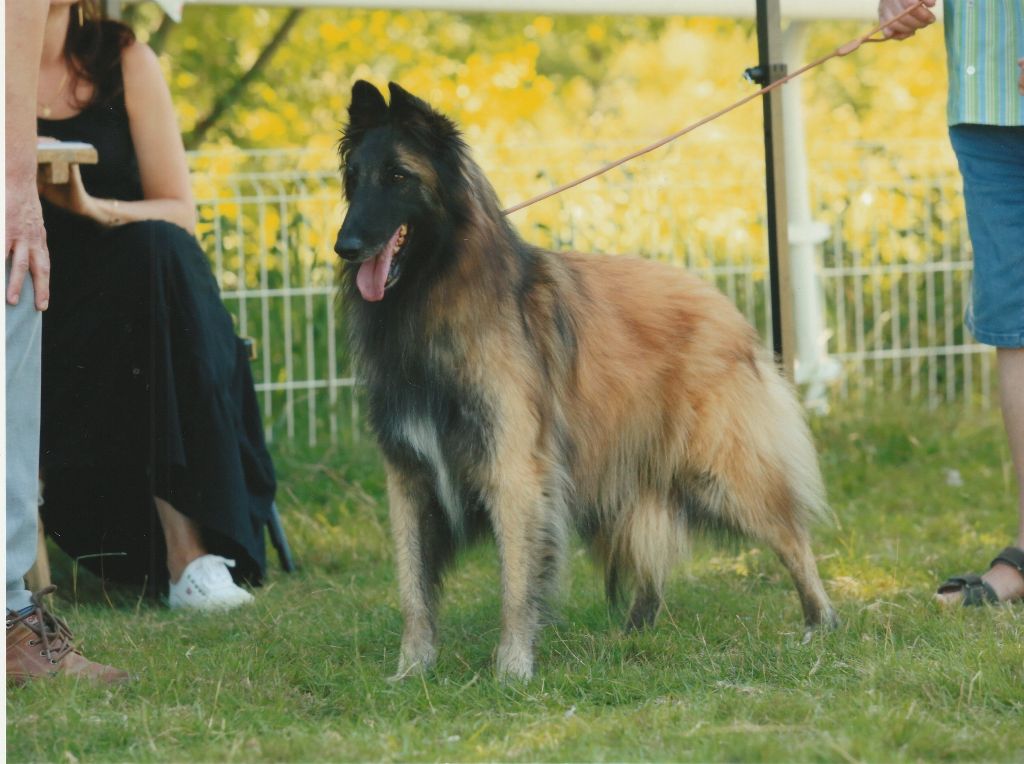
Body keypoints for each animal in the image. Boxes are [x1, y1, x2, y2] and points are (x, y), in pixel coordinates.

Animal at [331, 81, 835, 680]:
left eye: (398, 176)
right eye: (354, 177)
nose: (345, 245)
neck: (432, 293)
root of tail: (724, 305)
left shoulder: (514, 471)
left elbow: (516, 583)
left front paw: (512, 669)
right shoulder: (410, 475)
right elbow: (413, 588)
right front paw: (412, 670)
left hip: (722, 472)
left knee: (792, 535)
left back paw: (819, 623)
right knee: (650, 560)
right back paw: (633, 636)